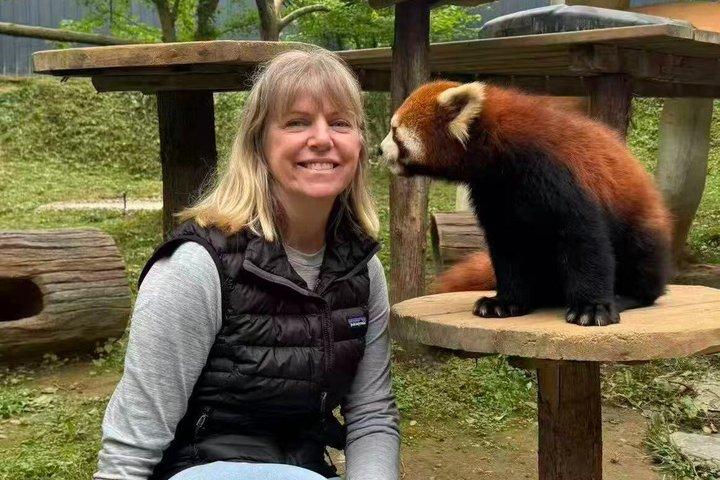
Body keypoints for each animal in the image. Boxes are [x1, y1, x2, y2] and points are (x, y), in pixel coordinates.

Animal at [380, 80, 672, 327]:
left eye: (395, 131)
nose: (379, 150)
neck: (499, 150)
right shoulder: (495, 194)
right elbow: (509, 248)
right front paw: (504, 302)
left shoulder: (557, 174)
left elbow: (585, 241)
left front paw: (592, 308)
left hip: (641, 226)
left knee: (641, 259)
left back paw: (627, 295)